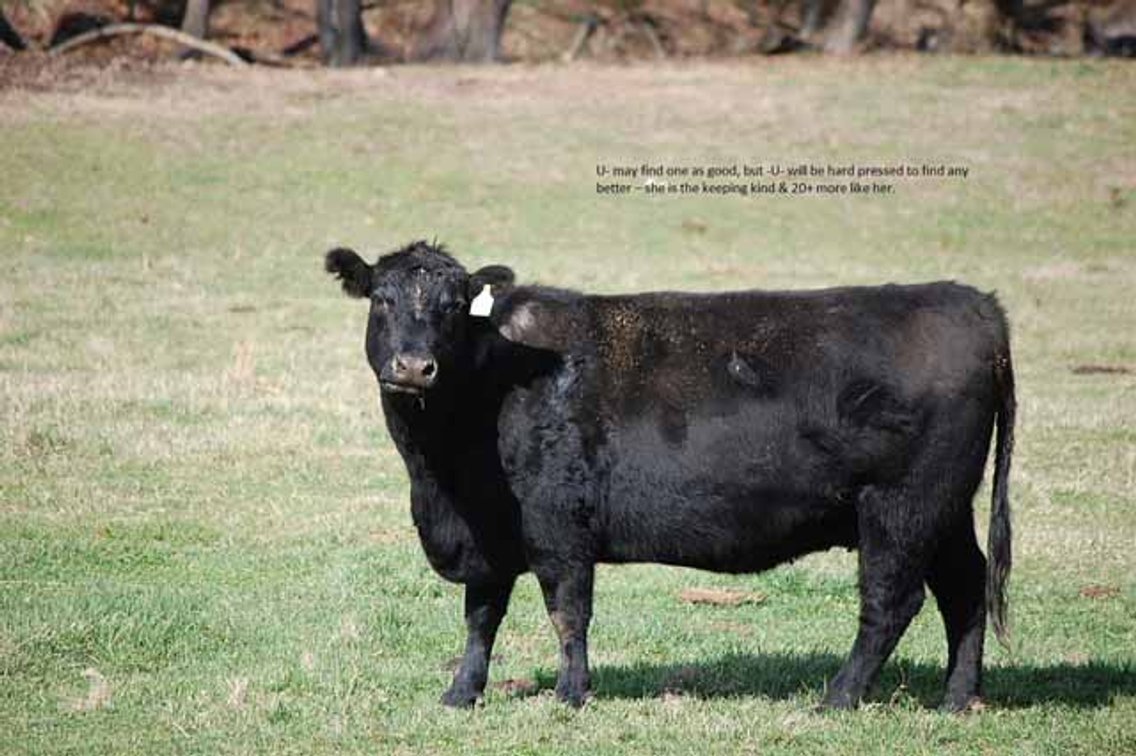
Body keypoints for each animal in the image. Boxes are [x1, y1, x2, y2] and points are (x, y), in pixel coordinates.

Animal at [324, 240, 1015, 712]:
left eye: (452, 308)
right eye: (383, 300)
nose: (414, 367)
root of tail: (975, 303)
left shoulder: (558, 526)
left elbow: (567, 610)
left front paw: (570, 694)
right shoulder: (489, 537)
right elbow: (481, 616)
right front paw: (461, 693)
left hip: (900, 506)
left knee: (892, 601)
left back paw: (837, 698)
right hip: (945, 509)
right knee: (964, 588)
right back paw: (958, 699)